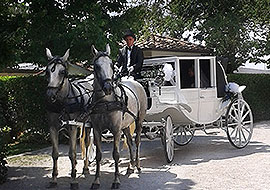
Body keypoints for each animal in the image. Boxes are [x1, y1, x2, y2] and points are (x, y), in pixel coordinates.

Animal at [45, 48, 94, 189]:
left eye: (62, 72)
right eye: (47, 71)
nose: (50, 95)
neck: (62, 103)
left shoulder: (72, 127)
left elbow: (72, 154)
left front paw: (73, 180)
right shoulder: (53, 127)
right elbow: (55, 154)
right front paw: (54, 178)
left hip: (88, 123)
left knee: (87, 143)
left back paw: (85, 167)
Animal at [89, 44, 147, 189]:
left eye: (111, 64)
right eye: (96, 66)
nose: (108, 87)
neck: (105, 102)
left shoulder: (116, 130)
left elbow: (116, 154)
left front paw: (116, 180)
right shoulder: (97, 130)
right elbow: (98, 155)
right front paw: (96, 181)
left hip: (139, 120)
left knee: (137, 141)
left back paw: (137, 165)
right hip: (125, 126)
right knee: (130, 142)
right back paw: (131, 165)